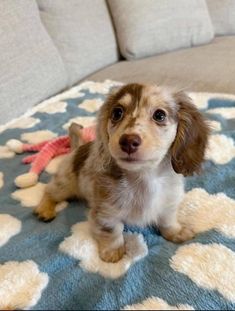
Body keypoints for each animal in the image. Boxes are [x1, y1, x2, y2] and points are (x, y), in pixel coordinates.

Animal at [34, 83, 209, 264]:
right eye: (117, 113)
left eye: (160, 115)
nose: (128, 141)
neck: (144, 178)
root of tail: (77, 149)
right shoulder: (105, 212)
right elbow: (112, 232)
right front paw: (113, 252)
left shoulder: (168, 204)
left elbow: (168, 221)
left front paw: (176, 232)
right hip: (64, 185)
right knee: (48, 191)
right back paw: (45, 210)